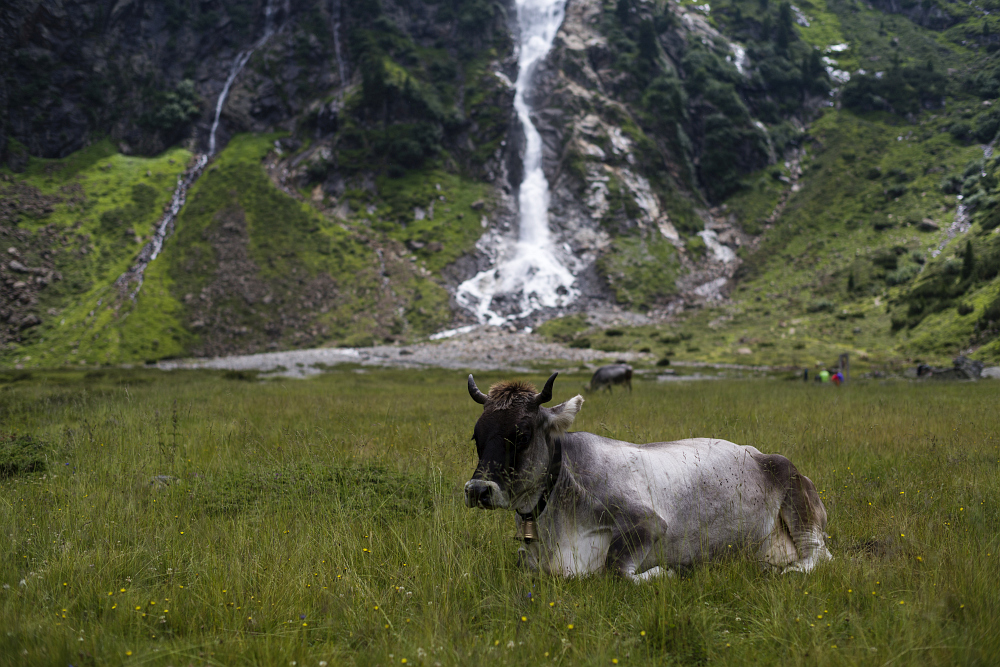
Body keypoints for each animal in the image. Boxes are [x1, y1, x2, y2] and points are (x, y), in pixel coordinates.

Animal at [464, 374, 832, 580]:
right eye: (476, 435)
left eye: (523, 435)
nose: (478, 490)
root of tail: (757, 452)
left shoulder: (649, 522)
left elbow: (614, 569)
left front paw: (667, 572)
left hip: (799, 501)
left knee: (818, 554)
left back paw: (788, 570)